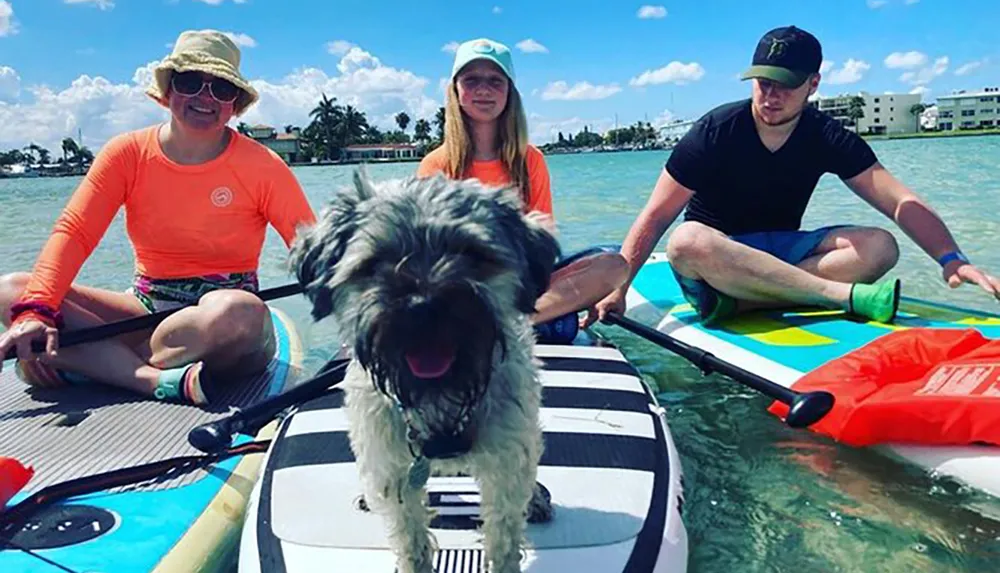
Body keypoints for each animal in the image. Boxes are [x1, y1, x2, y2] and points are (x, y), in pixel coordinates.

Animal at [292, 168, 564, 568]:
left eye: (470, 252)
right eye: (376, 261)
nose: (422, 306)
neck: (441, 400)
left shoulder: (506, 462)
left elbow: (503, 534)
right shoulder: (394, 472)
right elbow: (410, 540)